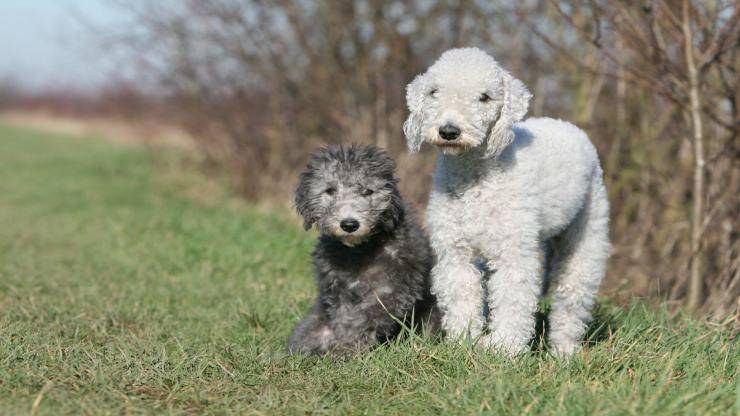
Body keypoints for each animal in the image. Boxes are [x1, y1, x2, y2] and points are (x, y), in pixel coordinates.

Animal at [288, 145, 440, 356]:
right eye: (330, 190)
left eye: (368, 191)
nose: (349, 224)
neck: (359, 251)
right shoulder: (337, 291)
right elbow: (341, 318)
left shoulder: (390, 291)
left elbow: (362, 320)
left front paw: (343, 350)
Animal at [404, 47, 608, 356]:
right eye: (433, 92)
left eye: (485, 97)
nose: (449, 131)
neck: (474, 175)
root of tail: (569, 126)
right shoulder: (455, 250)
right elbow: (462, 296)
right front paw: (464, 343)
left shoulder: (513, 250)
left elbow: (513, 298)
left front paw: (504, 348)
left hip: (587, 232)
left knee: (572, 297)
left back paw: (563, 351)